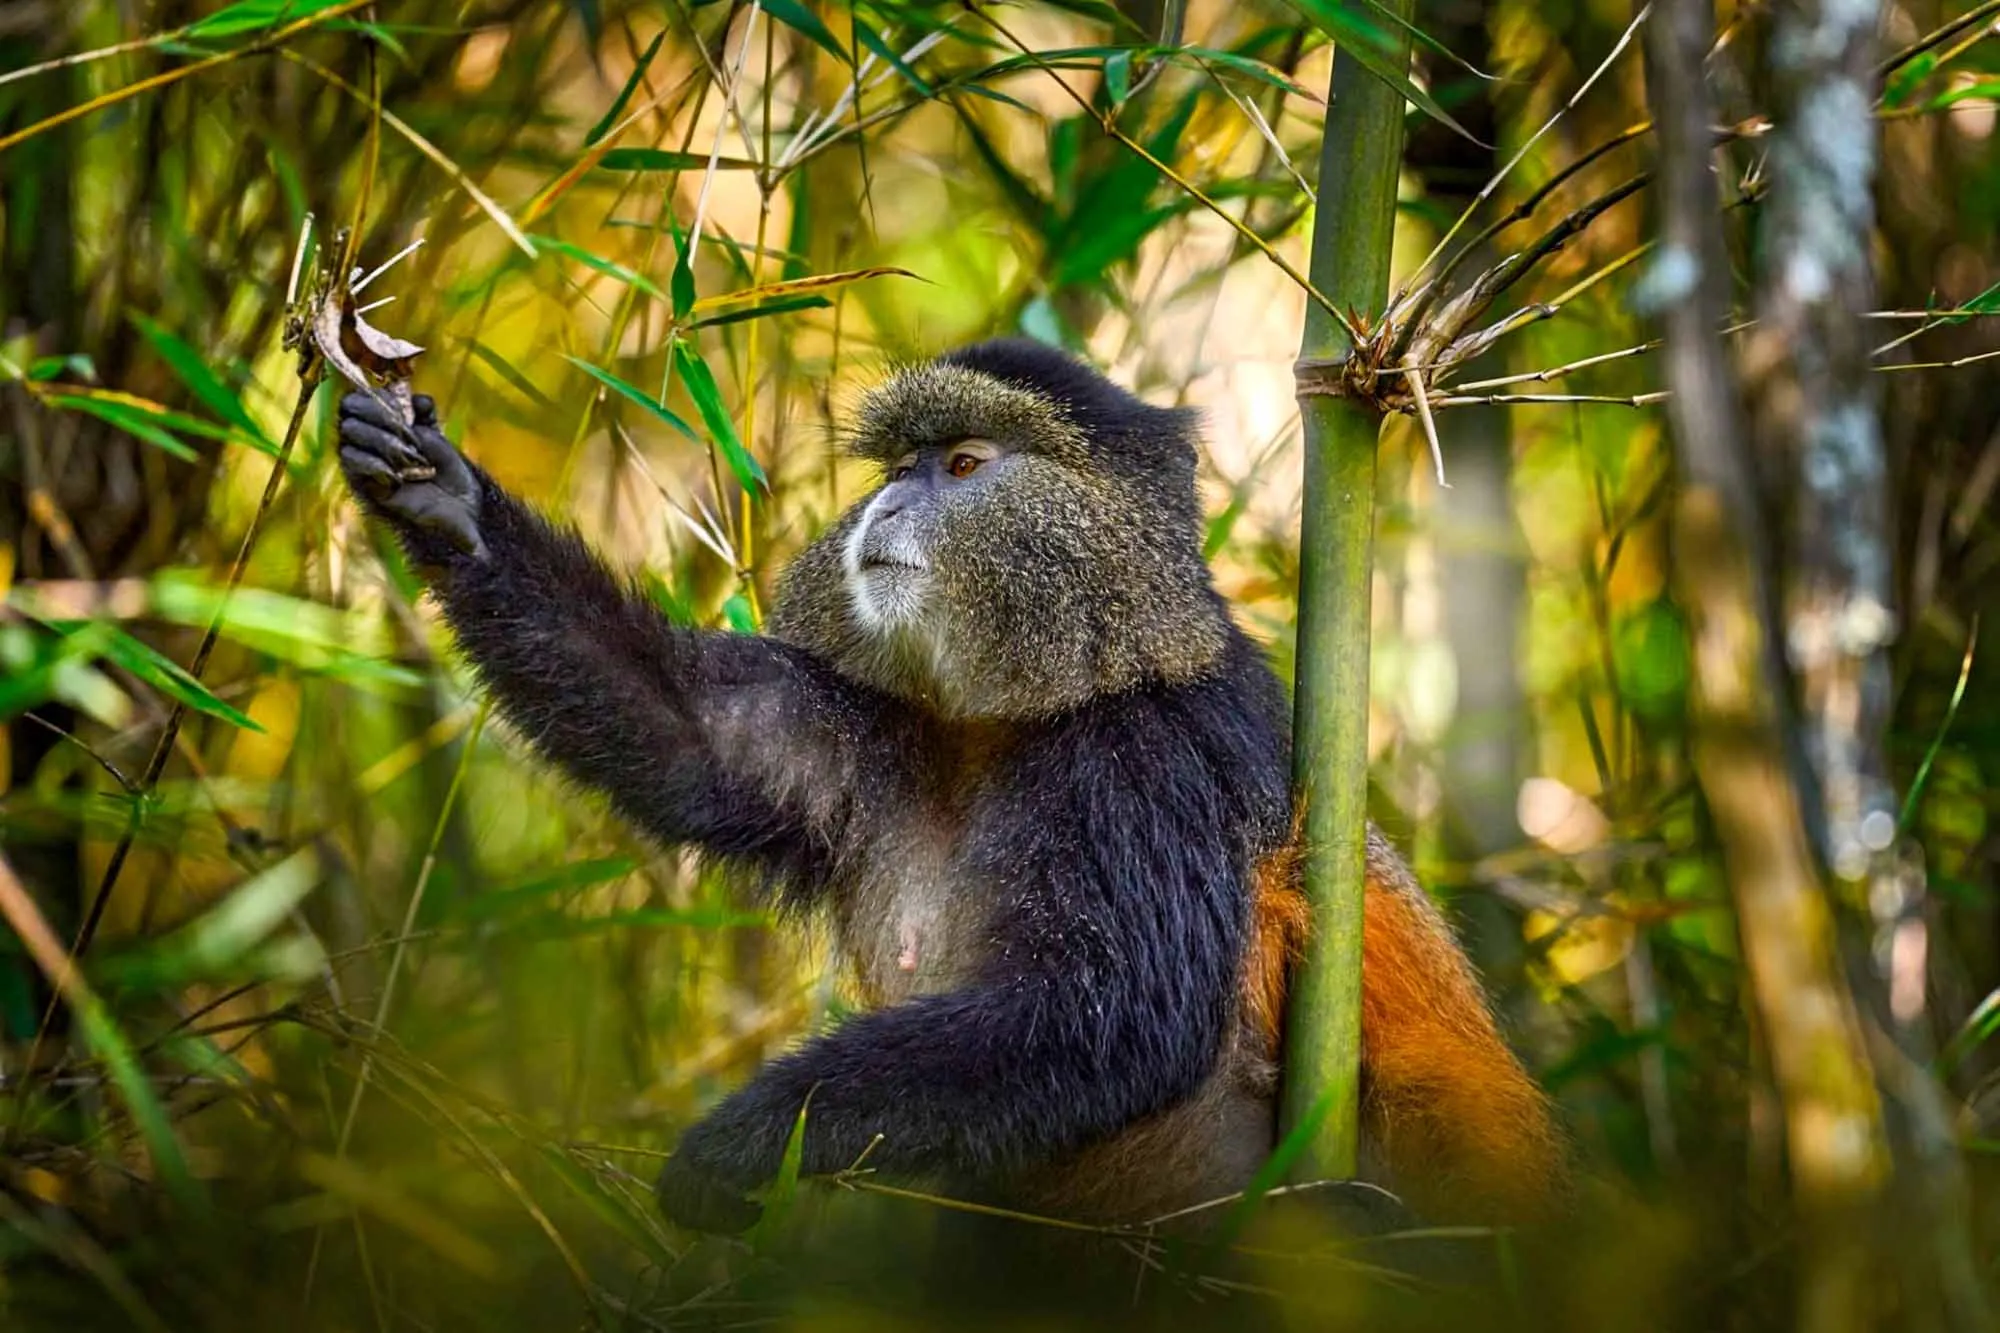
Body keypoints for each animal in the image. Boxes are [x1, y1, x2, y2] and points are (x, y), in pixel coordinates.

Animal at [333, 338, 1565, 1240]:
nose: (884, 509)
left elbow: (1112, 1011)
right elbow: (692, 734)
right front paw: (445, 499)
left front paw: (741, 1144)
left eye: (965, 466)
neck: (1016, 719)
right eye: (895, 468)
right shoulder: (876, 730)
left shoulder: (1153, 759)